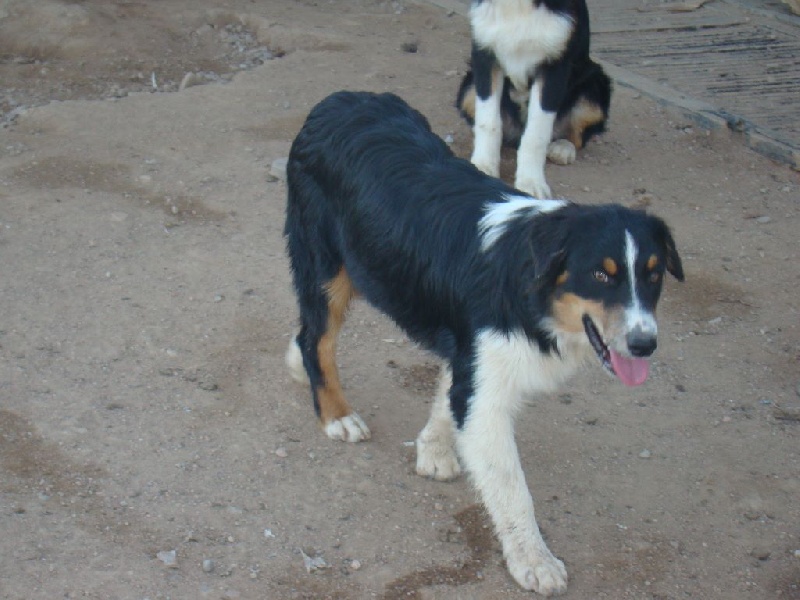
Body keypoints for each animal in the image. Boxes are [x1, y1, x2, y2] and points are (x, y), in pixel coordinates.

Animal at [283, 91, 682, 596]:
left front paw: (433, 450)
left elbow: (448, 395)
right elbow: (512, 488)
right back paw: (336, 413)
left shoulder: (470, 356)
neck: (528, 285)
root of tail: (338, 100)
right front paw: (534, 561)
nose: (645, 344)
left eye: (653, 274)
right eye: (600, 274)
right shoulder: (486, 389)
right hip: (325, 266)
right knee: (317, 338)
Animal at [456, 0, 612, 199]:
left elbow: (536, 134)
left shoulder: (554, 66)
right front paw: (482, 166)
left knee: (577, 137)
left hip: (593, 88)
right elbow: (488, 122)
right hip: (468, 86)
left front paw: (531, 181)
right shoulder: (484, 55)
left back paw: (562, 147)